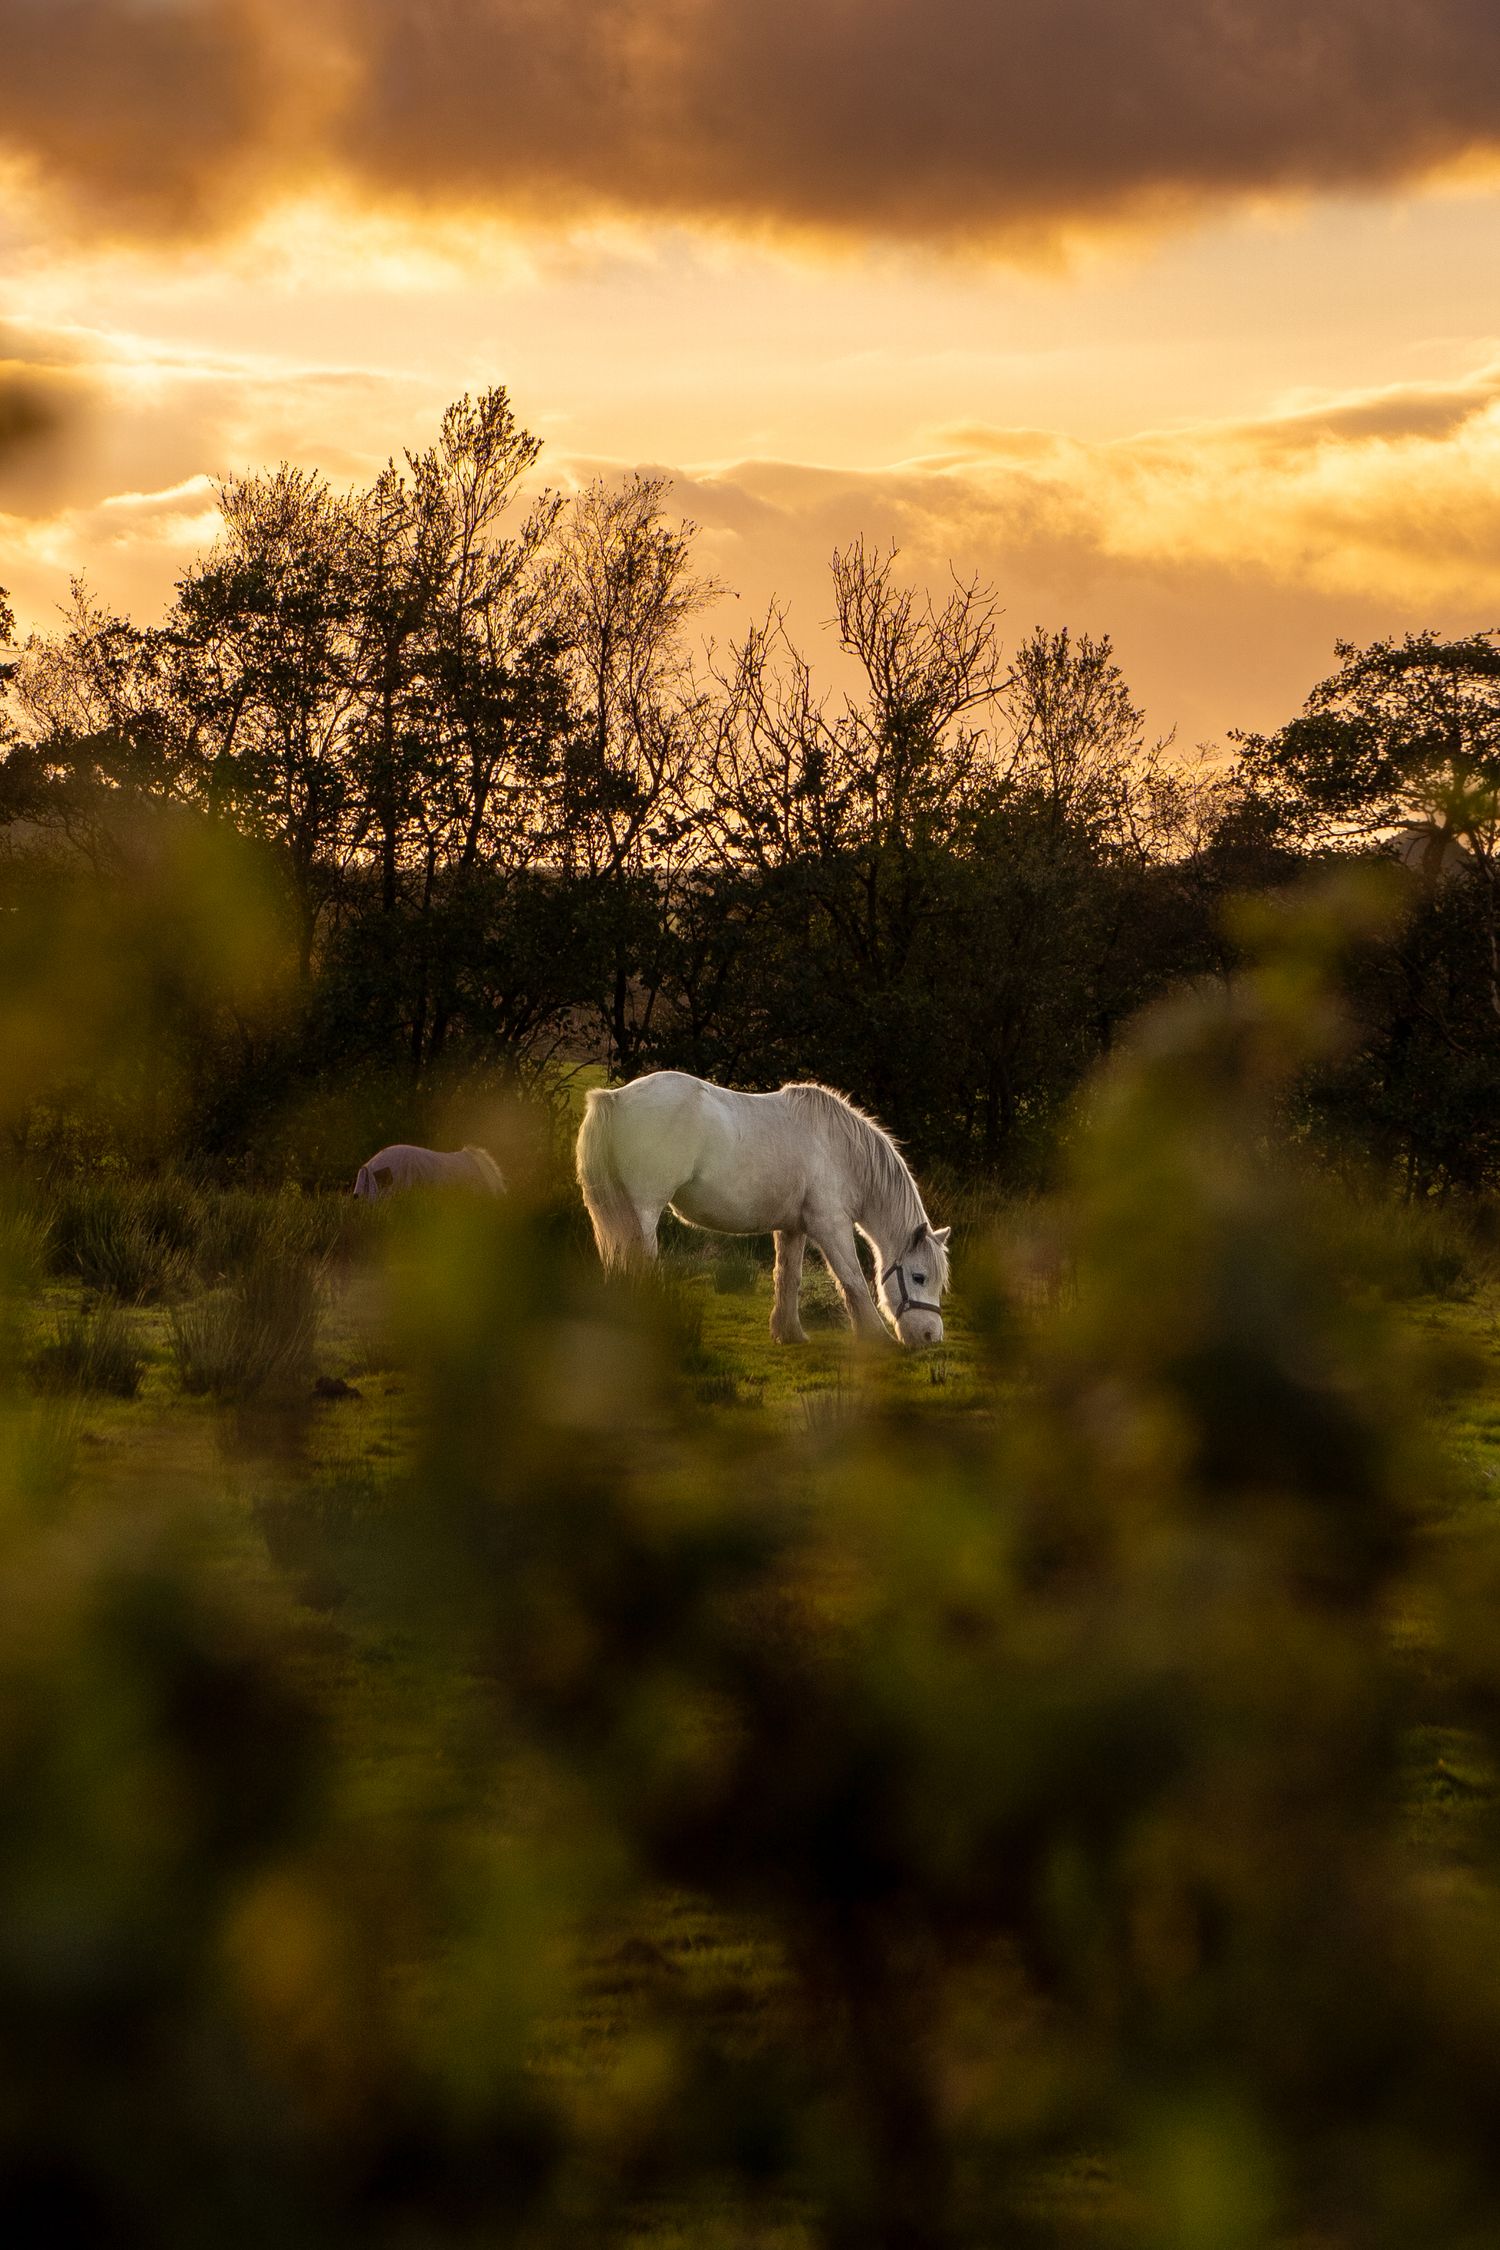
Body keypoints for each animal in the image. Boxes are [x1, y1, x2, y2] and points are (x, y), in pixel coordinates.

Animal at [576, 1072, 950, 1347]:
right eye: (919, 1277)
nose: (931, 1337)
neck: (840, 1150)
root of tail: (616, 1098)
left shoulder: (794, 1227)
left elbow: (788, 1278)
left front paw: (789, 1333)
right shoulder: (830, 1226)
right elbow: (853, 1280)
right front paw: (877, 1337)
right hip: (643, 1211)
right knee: (639, 1263)